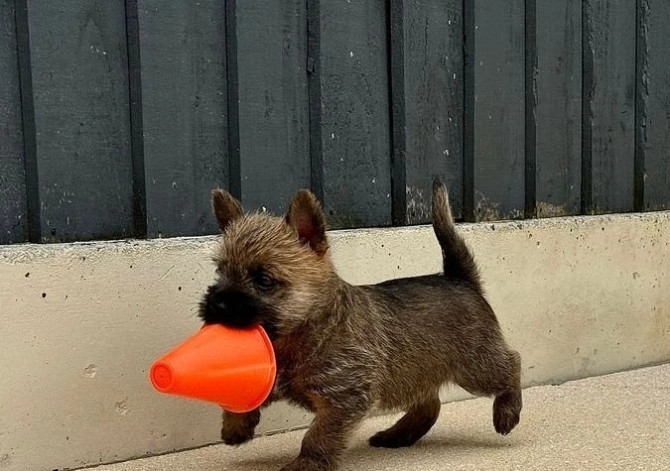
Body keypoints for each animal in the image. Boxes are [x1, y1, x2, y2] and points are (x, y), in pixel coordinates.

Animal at [201, 179, 524, 470]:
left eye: (264, 280)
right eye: (221, 272)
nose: (216, 304)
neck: (305, 331)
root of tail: (459, 279)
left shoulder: (344, 398)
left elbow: (318, 435)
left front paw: (307, 463)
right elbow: (239, 400)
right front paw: (236, 428)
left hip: (476, 367)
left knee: (512, 364)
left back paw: (507, 412)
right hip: (414, 373)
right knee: (429, 403)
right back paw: (399, 434)